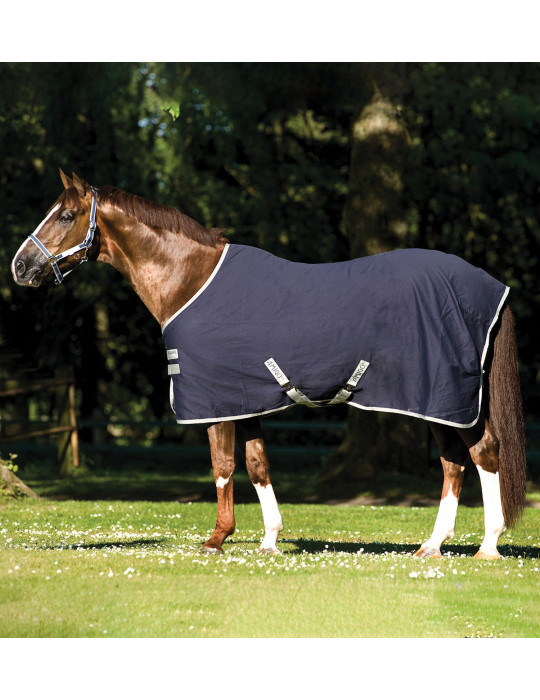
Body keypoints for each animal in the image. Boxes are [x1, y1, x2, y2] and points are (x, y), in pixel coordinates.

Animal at [11, 170, 527, 559]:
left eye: (66, 215)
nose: (19, 266)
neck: (191, 280)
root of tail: (489, 286)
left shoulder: (215, 401)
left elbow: (222, 466)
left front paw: (217, 539)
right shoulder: (246, 400)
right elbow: (257, 464)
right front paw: (270, 539)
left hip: (445, 397)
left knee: (483, 455)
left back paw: (487, 546)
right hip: (439, 403)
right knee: (454, 464)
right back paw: (432, 545)